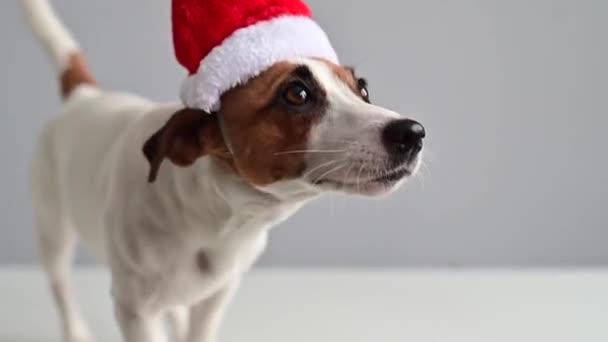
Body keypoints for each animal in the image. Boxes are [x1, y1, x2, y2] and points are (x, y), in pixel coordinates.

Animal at [22, 0, 422, 342]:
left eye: (363, 89)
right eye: (297, 93)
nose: (413, 133)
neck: (212, 219)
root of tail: (84, 96)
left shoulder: (216, 295)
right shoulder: (135, 311)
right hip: (53, 228)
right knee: (60, 283)